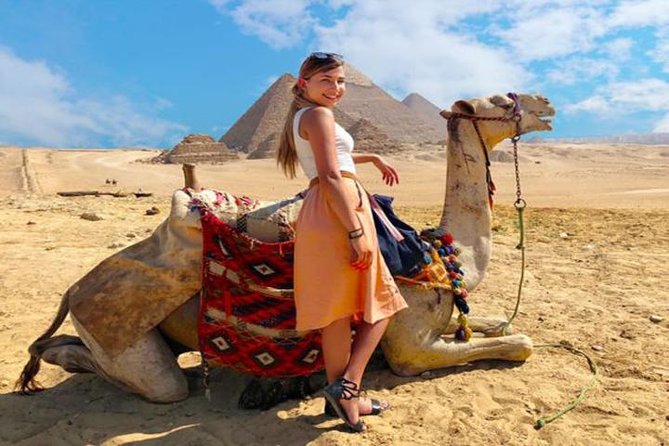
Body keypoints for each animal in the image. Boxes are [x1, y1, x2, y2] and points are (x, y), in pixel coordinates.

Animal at [16, 92, 555, 404]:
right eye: (497, 98)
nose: (546, 105)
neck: (437, 250)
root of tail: (75, 287)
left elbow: (495, 324)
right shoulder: (410, 347)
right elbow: (519, 344)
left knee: (70, 347)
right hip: (124, 338)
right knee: (158, 383)